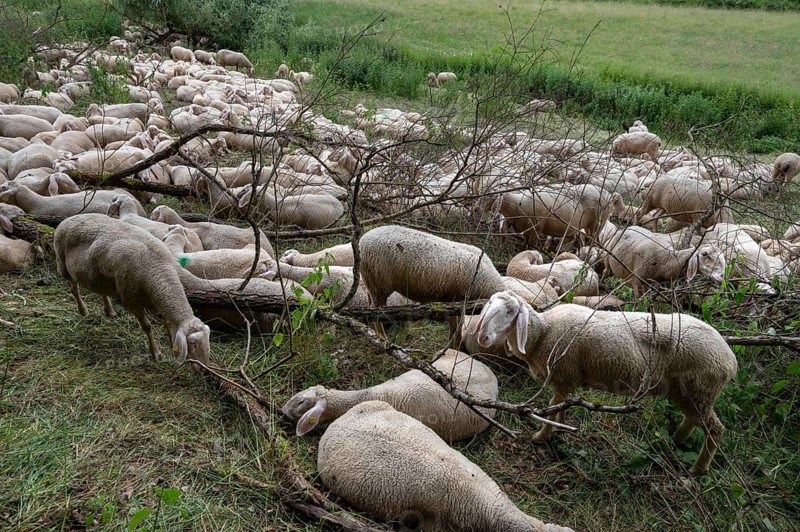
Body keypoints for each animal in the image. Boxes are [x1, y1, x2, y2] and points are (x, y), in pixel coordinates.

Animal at [53, 213, 211, 365]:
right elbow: (147, 326)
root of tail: (69, 218)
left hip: (98, 276)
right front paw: (156, 353)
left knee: (100, 290)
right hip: (63, 264)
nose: (205, 368)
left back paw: (110, 311)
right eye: (193, 343)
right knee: (74, 290)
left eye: (207, 340)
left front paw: (172, 345)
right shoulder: (131, 301)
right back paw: (83, 311)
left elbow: (168, 324)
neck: (159, 270)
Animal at [473, 290, 738, 475]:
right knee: (693, 419)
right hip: (687, 391)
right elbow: (561, 407)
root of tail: (730, 359)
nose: (483, 337)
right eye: (488, 306)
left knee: (715, 429)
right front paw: (560, 428)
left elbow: (550, 409)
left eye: (510, 312)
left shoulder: (563, 374)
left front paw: (542, 436)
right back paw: (676, 440)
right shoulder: (566, 381)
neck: (543, 333)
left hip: (700, 388)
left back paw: (698, 469)